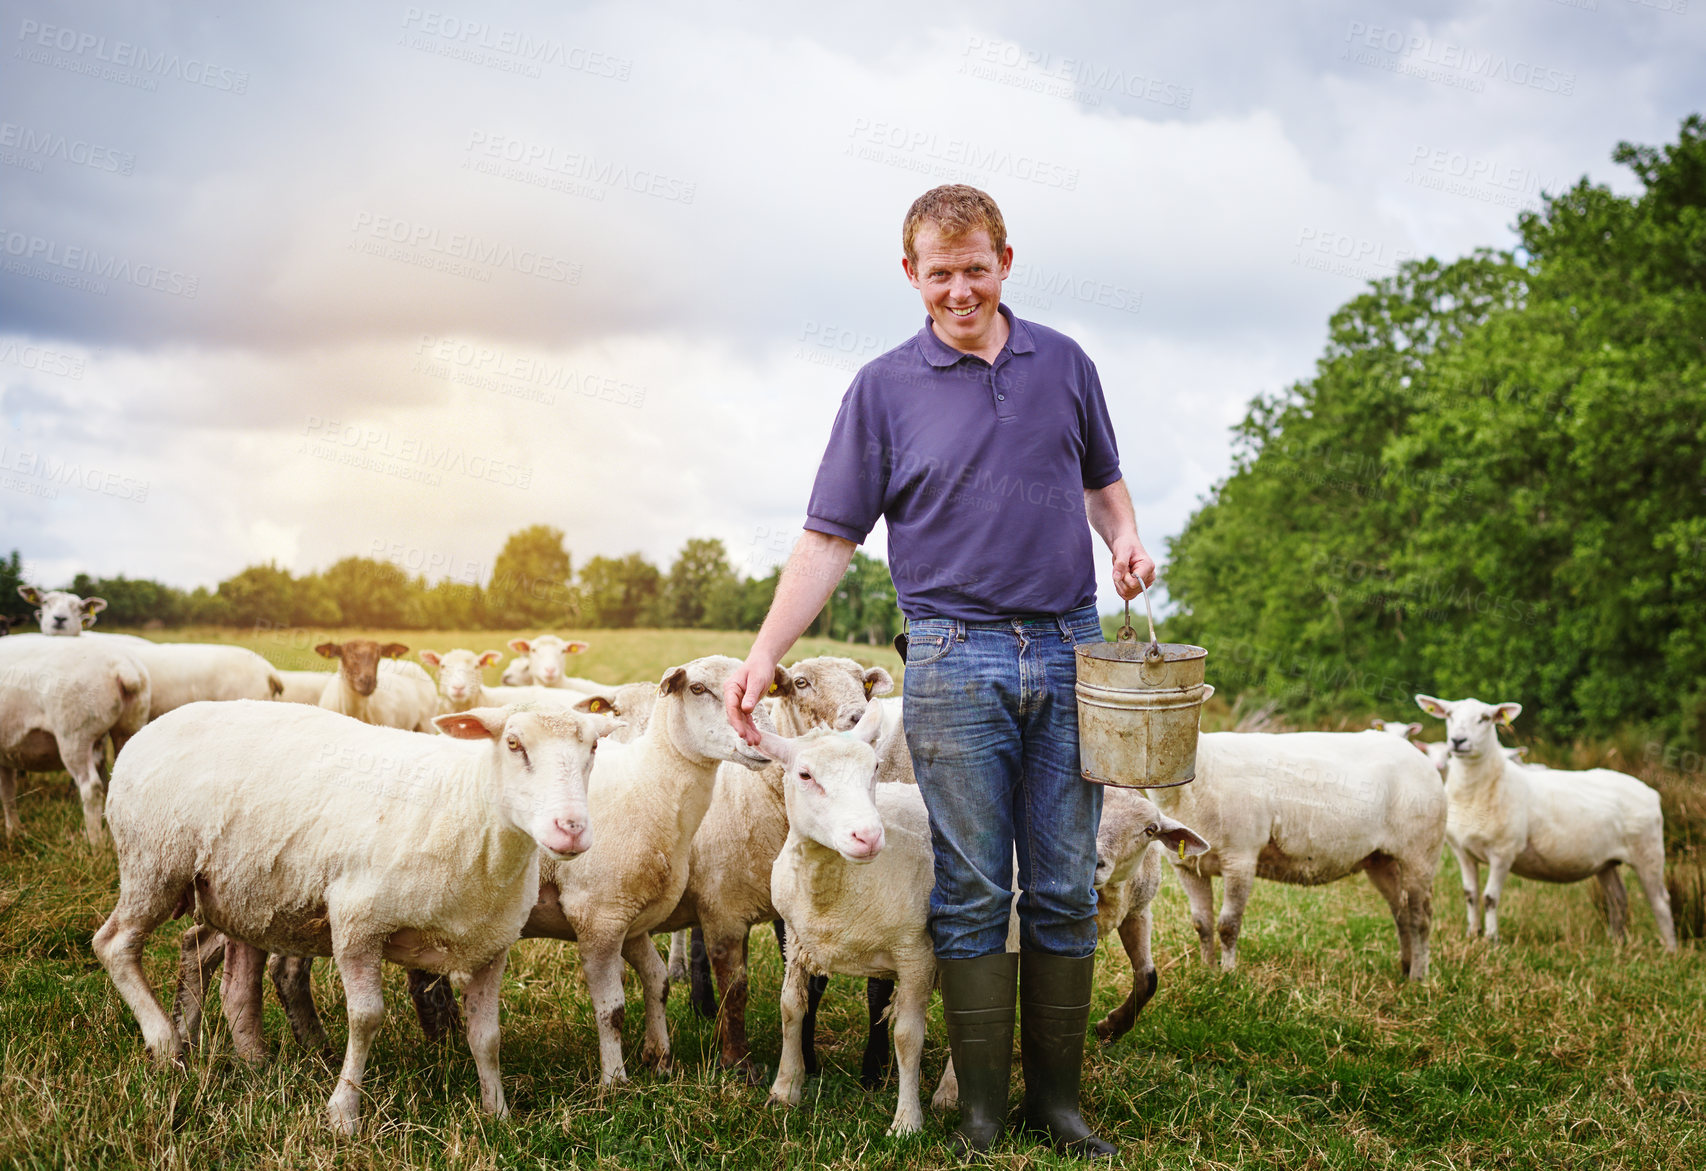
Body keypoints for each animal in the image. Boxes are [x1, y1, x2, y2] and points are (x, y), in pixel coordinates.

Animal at [0, 631, 150, 843]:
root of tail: (122, 667)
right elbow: (7, 790)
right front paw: (14, 830)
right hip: (130, 726)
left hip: (74, 735)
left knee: (90, 787)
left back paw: (93, 840)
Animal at [91, 696, 614, 1140]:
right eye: (513, 744)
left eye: (593, 747)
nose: (571, 830)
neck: (473, 814)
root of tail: (149, 729)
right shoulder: (357, 924)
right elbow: (366, 1019)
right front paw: (343, 1114)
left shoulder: (492, 946)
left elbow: (486, 1037)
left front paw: (497, 1113)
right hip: (154, 863)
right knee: (114, 944)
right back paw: (166, 1045)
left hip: (242, 895)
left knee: (231, 981)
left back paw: (250, 1061)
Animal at [515, 652, 777, 1085]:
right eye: (698, 688)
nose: (760, 736)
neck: (647, 786)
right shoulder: (598, 916)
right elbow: (612, 1008)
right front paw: (614, 1082)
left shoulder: (633, 917)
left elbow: (658, 983)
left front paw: (659, 1061)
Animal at [1153, 734, 1446, 983]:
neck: (1204, 770)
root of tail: (1421, 757)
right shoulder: (1185, 867)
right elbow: (1201, 924)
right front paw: (1207, 972)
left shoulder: (1240, 858)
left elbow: (1228, 925)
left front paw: (1228, 976)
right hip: (1382, 860)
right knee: (1402, 913)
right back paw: (1405, 968)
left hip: (1421, 854)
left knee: (1421, 919)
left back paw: (1418, 979)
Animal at [1405, 696, 1671, 955]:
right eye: (1450, 715)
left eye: (1485, 718)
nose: (1458, 741)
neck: (1479, 789)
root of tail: (1651, 792)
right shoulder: (1463, 851)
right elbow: (1470, 896)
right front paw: (1472, 935)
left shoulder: (1503, 852)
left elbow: (1490, 898)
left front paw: (1492, 940)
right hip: (1606, 862)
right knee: (1618, 898)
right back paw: (1616, 943)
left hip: (1648, 853)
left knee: (1661, 902)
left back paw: (1670, 949)